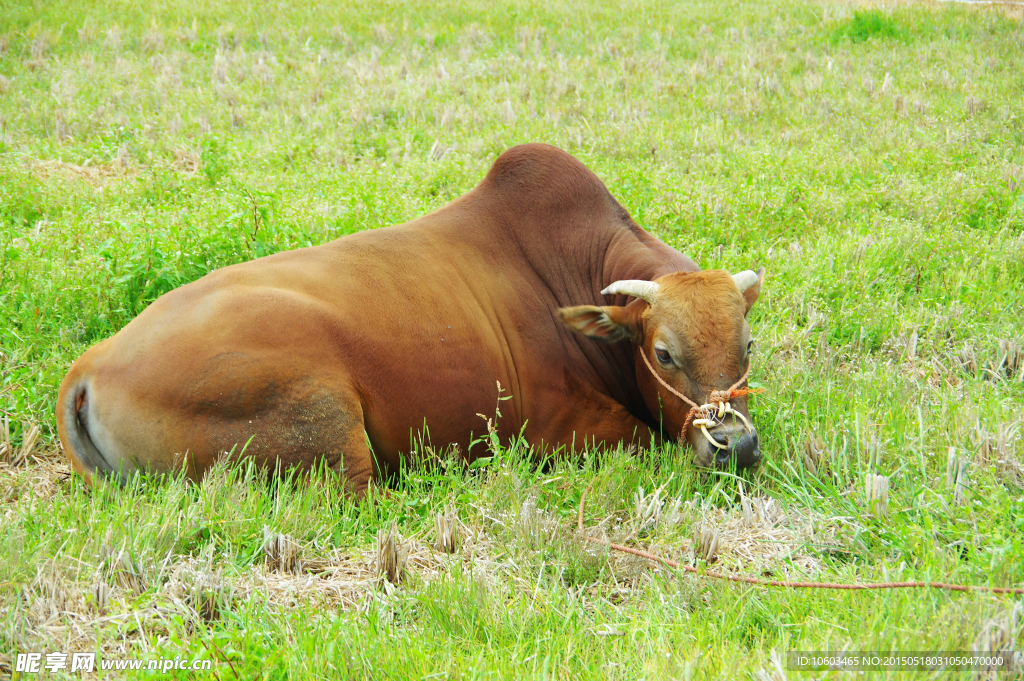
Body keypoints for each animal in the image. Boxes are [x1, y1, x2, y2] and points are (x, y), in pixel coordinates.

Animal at [54, 144, 761, 493]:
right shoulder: (560, 432)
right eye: (663, 353)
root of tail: (91, 364)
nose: (738, 445)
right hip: (329, 432)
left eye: (747, 345)